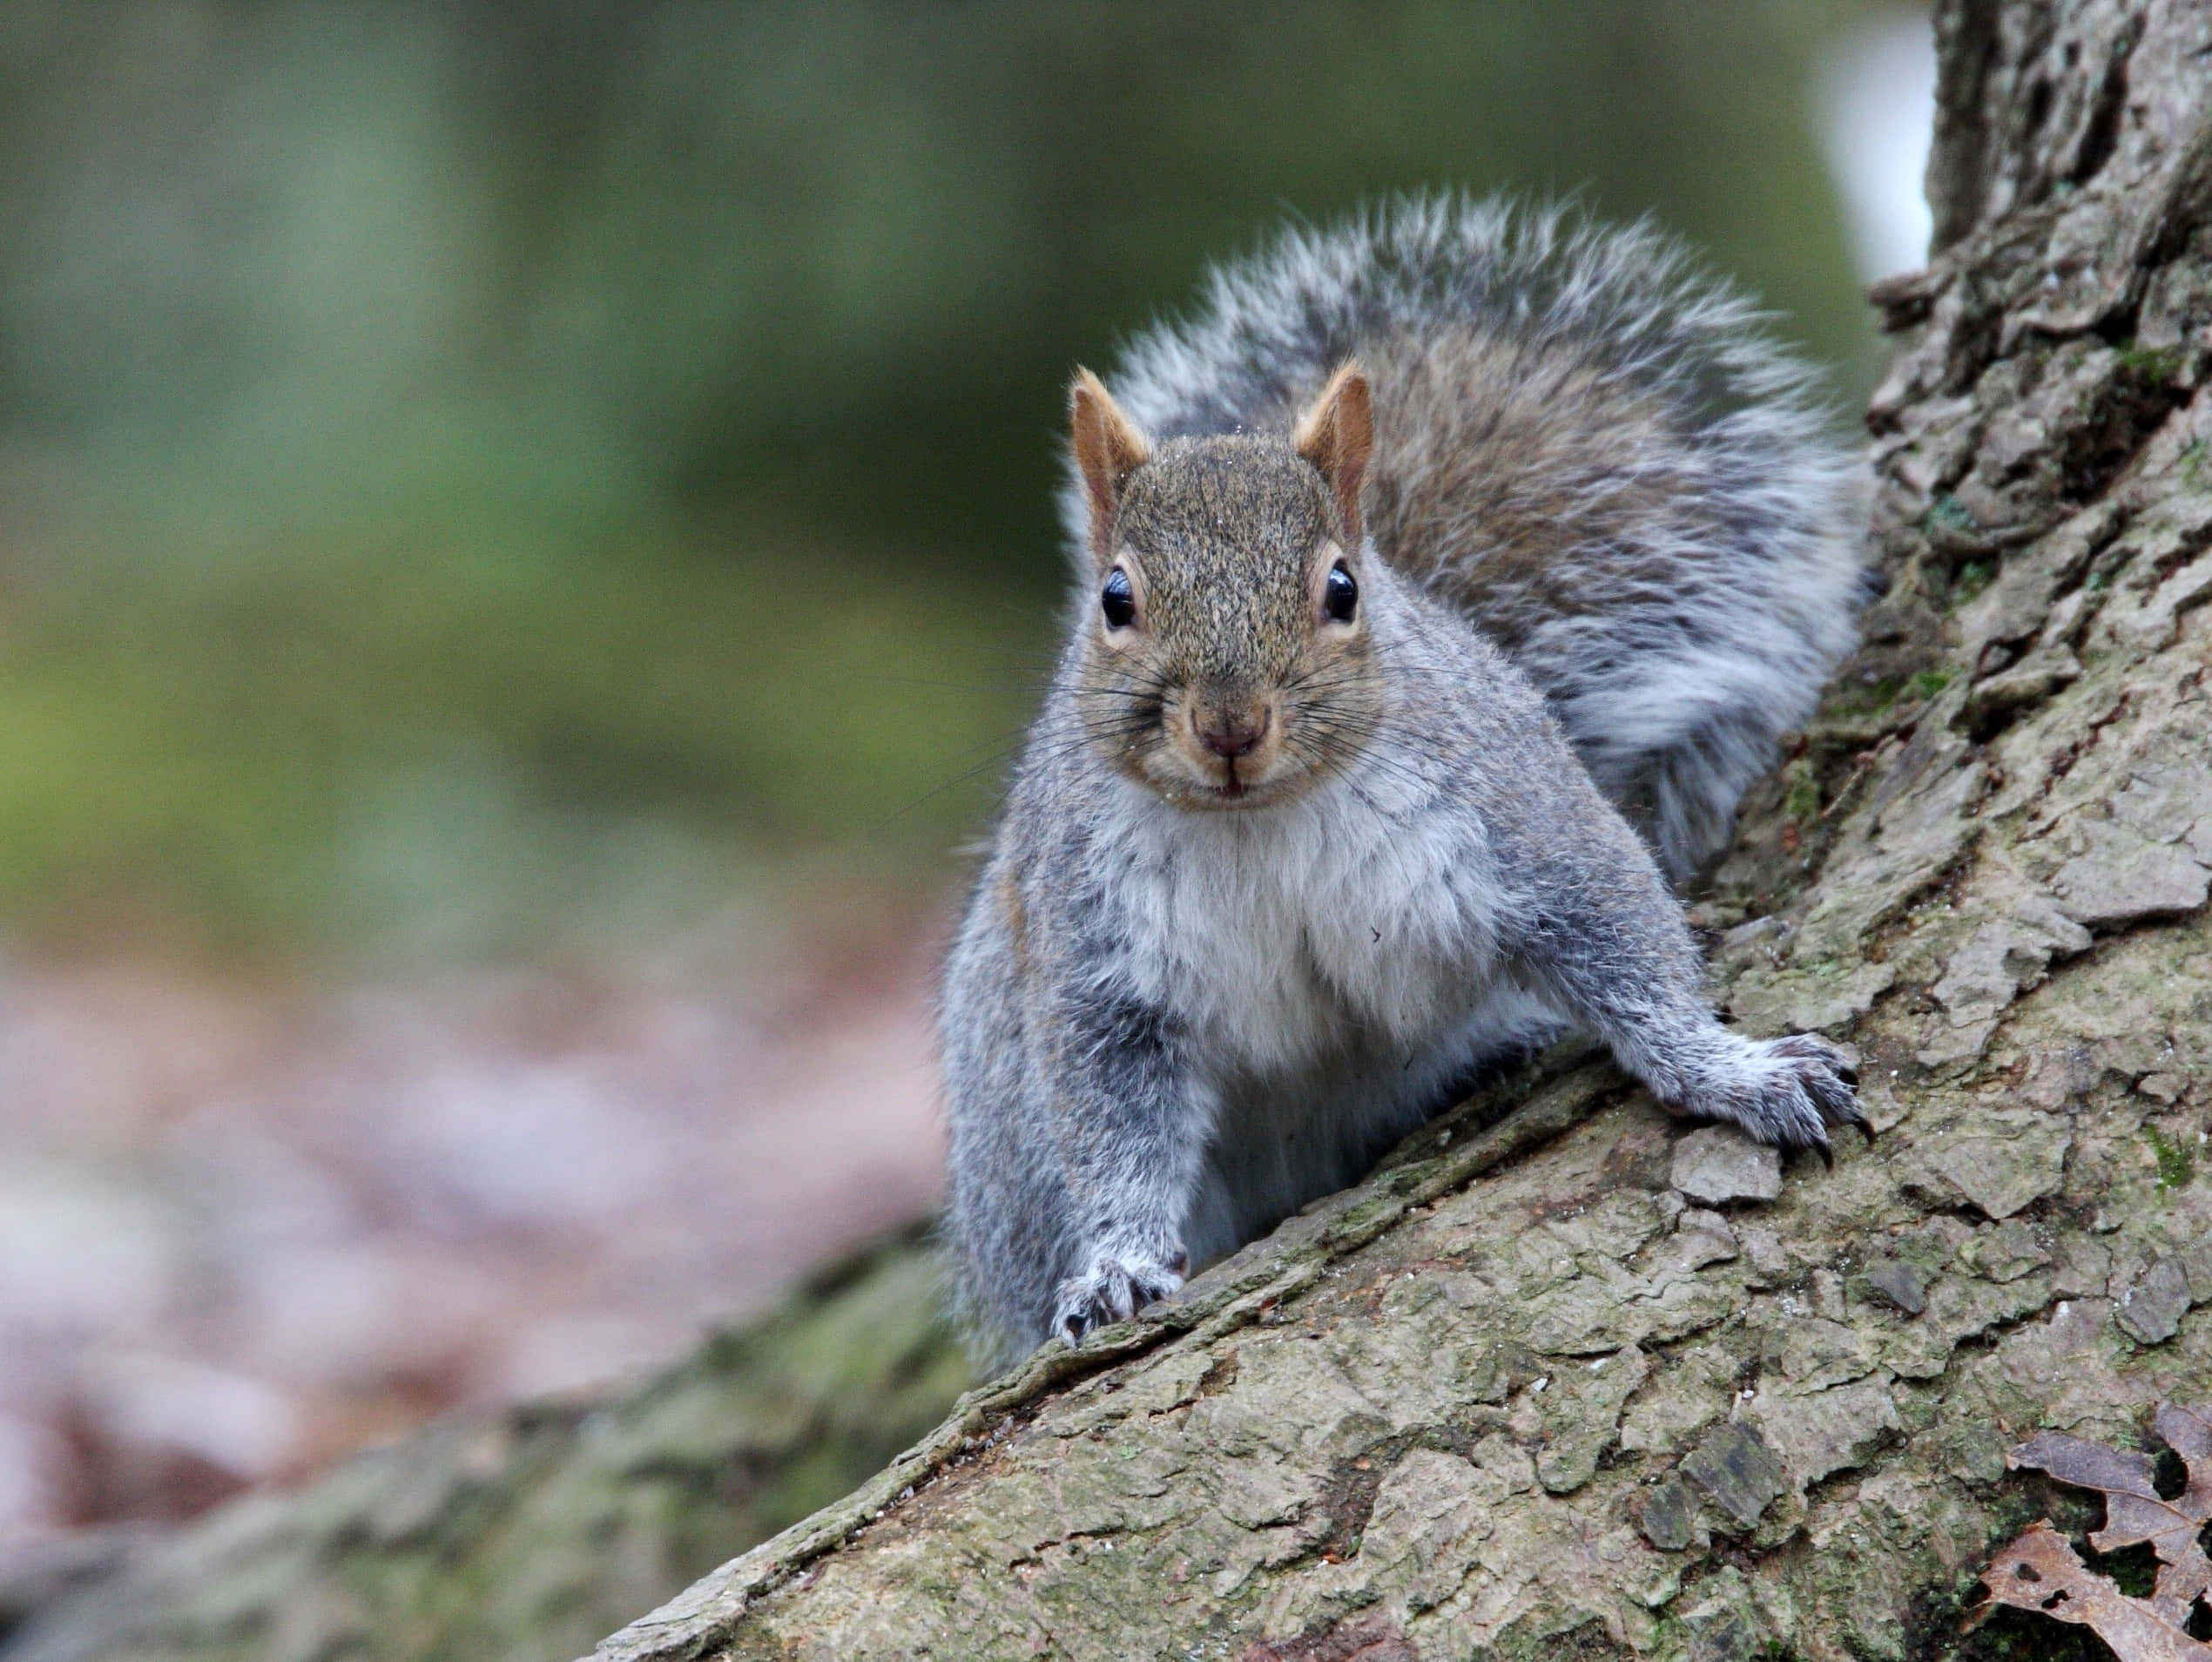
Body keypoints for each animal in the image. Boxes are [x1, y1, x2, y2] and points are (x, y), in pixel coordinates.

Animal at [940, 196, 1870, 1365]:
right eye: (1114, 601)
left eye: (1341, 589)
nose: (1230, 726)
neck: (1262, 817)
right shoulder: (1094, 946)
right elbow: (1114, 1122)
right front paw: (1116, 1266)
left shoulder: (1514, 813)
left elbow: (1625, 940)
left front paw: (1730, 1071)